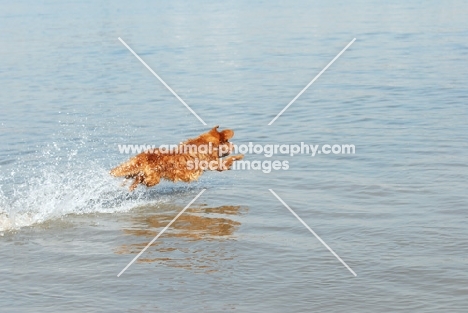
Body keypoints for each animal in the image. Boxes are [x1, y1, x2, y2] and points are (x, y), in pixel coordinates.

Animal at [109, 125, 241, 190]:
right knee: (139, 179)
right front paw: (239, 156)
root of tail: (144, 156)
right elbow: (228, 161)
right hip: (152, 179)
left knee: (134, 179)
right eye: (228, 141)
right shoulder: (214, 164)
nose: (234, 145)